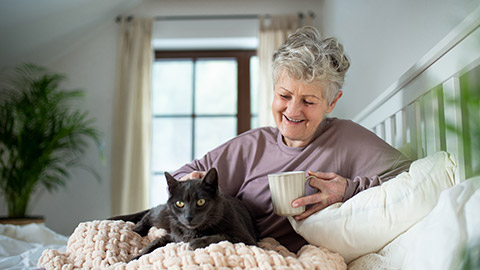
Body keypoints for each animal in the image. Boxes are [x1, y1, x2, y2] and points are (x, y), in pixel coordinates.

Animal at [110, 169, 256, 260]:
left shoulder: (246, 238)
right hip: (163, 215)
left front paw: (196, 243)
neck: (192, 232)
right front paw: (133, 259)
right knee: (149, 214)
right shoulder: (172, 236)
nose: (188, 217)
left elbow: (222, 236)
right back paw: (138, 229)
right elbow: (152, 244)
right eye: (179, 203)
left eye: (201, 202)